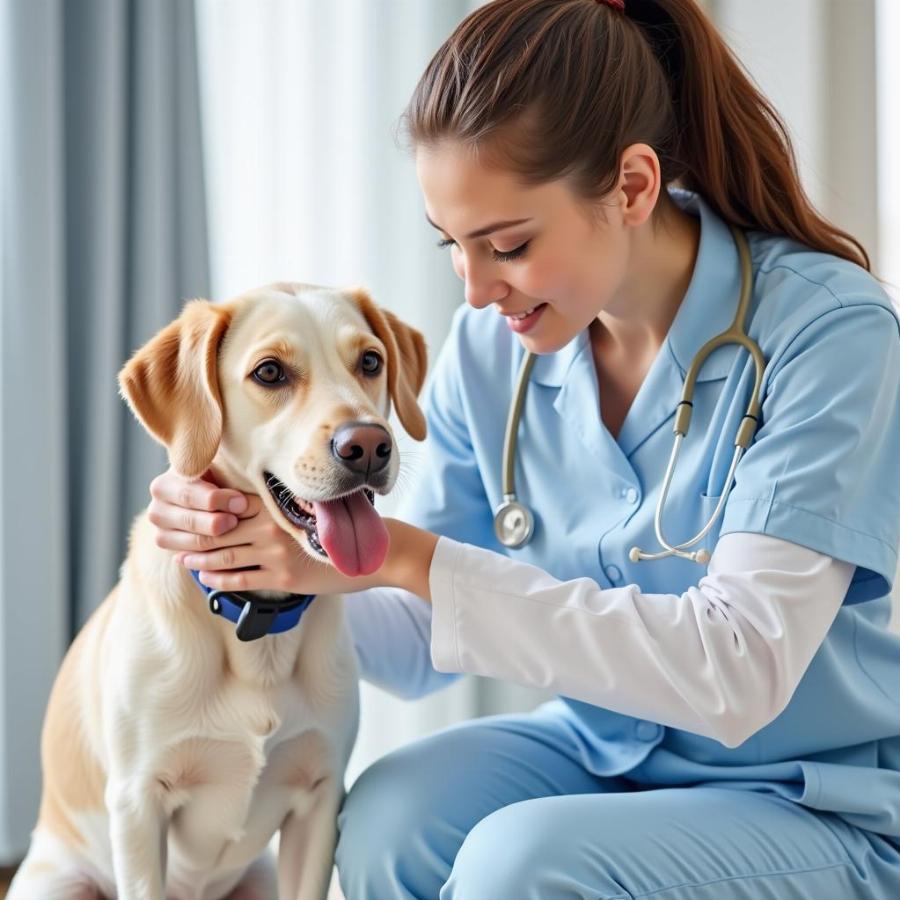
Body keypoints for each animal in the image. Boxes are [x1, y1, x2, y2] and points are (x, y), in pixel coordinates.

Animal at [8, 284, 428, 900]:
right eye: (270, 372)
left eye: (370, 362)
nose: (368, 444)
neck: (257, 620)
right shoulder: (137, 805)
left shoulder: (321, 799)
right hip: (59, 881)